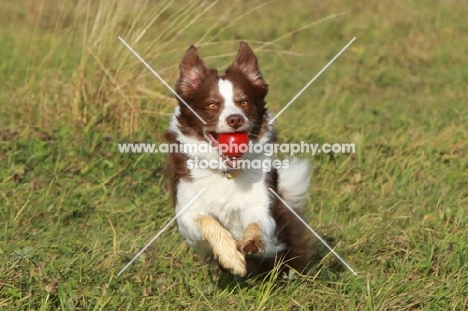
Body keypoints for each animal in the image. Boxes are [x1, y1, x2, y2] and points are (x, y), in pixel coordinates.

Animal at [166, 41, 312, 278]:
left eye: (243, 102)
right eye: (212, 105)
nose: (235, 119)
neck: (226, 172)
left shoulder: (262, 207)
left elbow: (257, 224)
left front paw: (251, 242)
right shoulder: (186, 213)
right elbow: (208, 221)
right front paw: (231, 257)